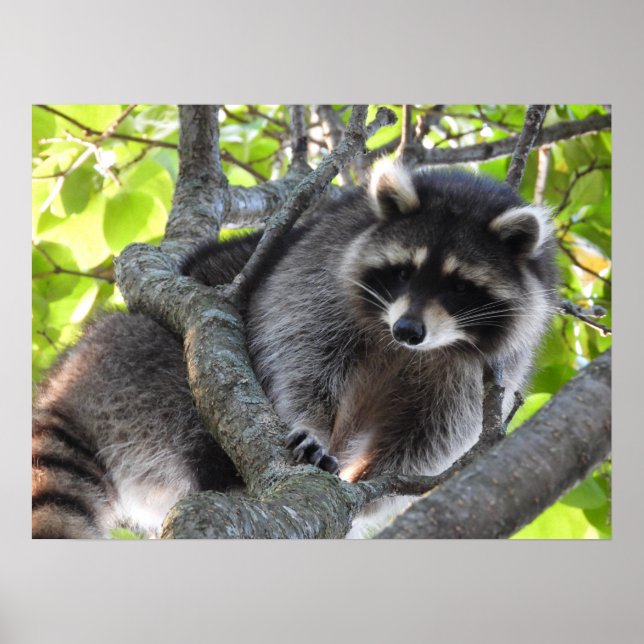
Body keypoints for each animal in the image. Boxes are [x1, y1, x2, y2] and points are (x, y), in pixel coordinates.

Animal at [32, 162, 558, 539]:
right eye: (403, 271)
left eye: (458, 286)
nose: (408, 329)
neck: (406, 350)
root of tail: (66, 379)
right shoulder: (318, 269)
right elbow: (300, 353)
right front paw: (313, 427)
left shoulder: (488, 368)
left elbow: (433, 436)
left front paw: (373, 478)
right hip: (138, 366)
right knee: (193, 397)